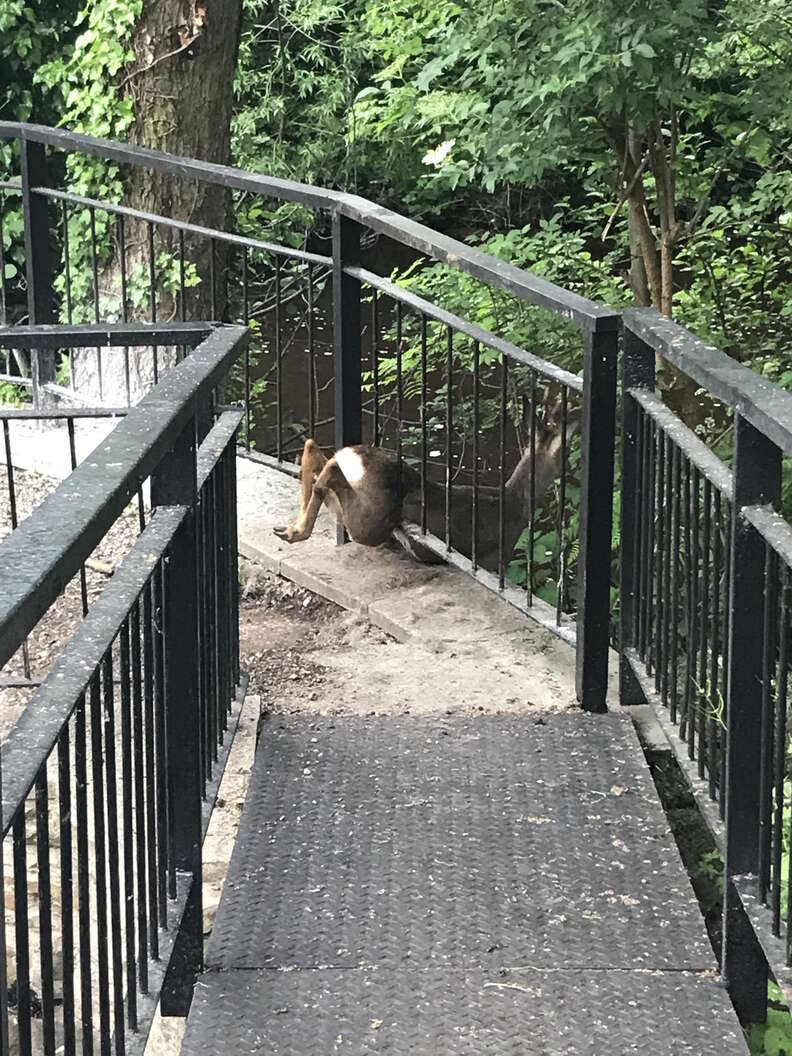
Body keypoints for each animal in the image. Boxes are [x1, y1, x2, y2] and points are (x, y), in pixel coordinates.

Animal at [274, 394, 582, 570]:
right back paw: (295, 532)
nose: (568, 468)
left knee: (314, 451)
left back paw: (288, 529)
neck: (516, 501)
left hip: (347, 508)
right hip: (371, 522)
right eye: (564, 452)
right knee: (329, 474)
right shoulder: (496, 560)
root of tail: (354, 456)